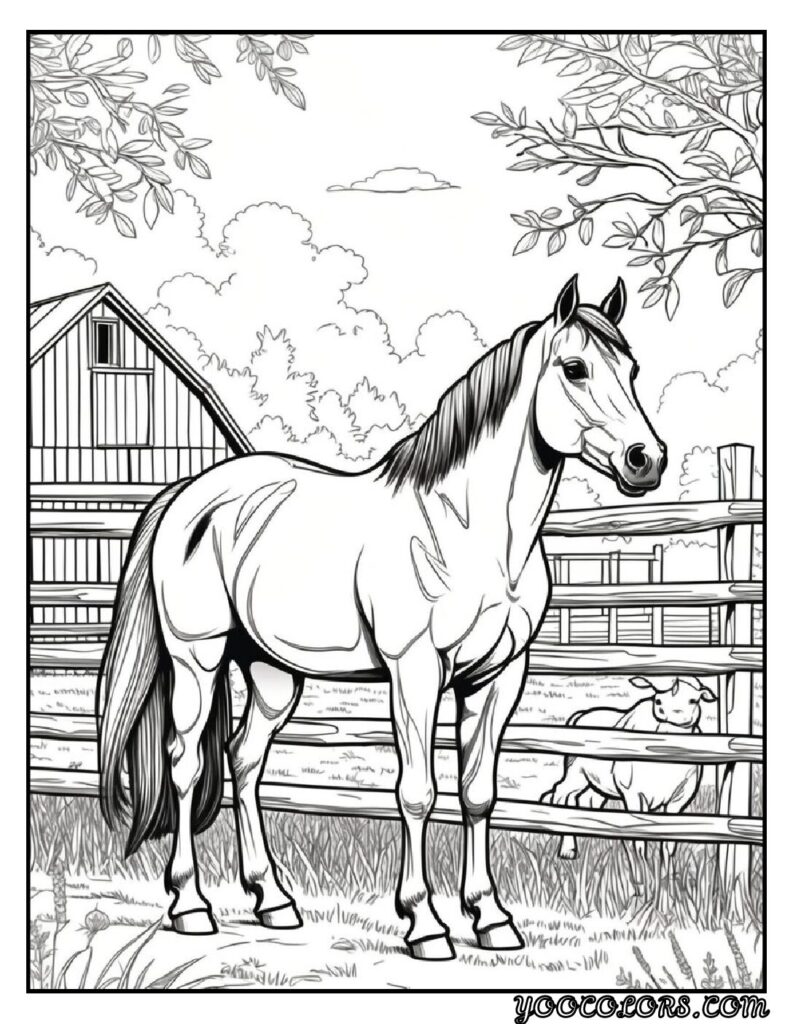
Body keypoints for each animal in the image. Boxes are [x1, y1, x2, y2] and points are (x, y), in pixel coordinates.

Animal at [98, 274, 666, 960]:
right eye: (575, 368)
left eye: (633, 370)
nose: (646, 460)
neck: (469, 531)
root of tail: (187, 495)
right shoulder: (415, 671)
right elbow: (418, 792)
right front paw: (425, 924)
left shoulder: (499, 676)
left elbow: (478, 793)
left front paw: (491, 918)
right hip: (197, 657)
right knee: (186, 765)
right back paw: (190, 904)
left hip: (271, 671)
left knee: (245, 760)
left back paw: (273, 901)